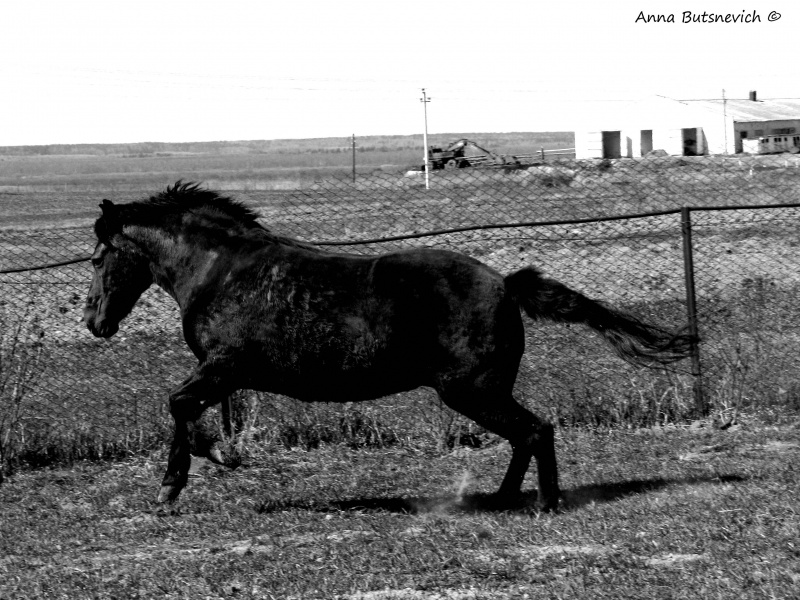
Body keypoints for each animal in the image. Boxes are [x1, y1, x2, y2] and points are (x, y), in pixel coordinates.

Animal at [84, 182, 693, 511]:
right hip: (481, 392)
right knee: (526, 435)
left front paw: (201, 468)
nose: (94, 321)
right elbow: (185, 409)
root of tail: (504, 283)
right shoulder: (222, 374)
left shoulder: (223, 367)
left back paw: (542, 504)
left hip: (472, 391)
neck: (220, 271)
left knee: (536, 430)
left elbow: (179, 406)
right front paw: (195, 474)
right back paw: (503, 499)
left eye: (97, 257)